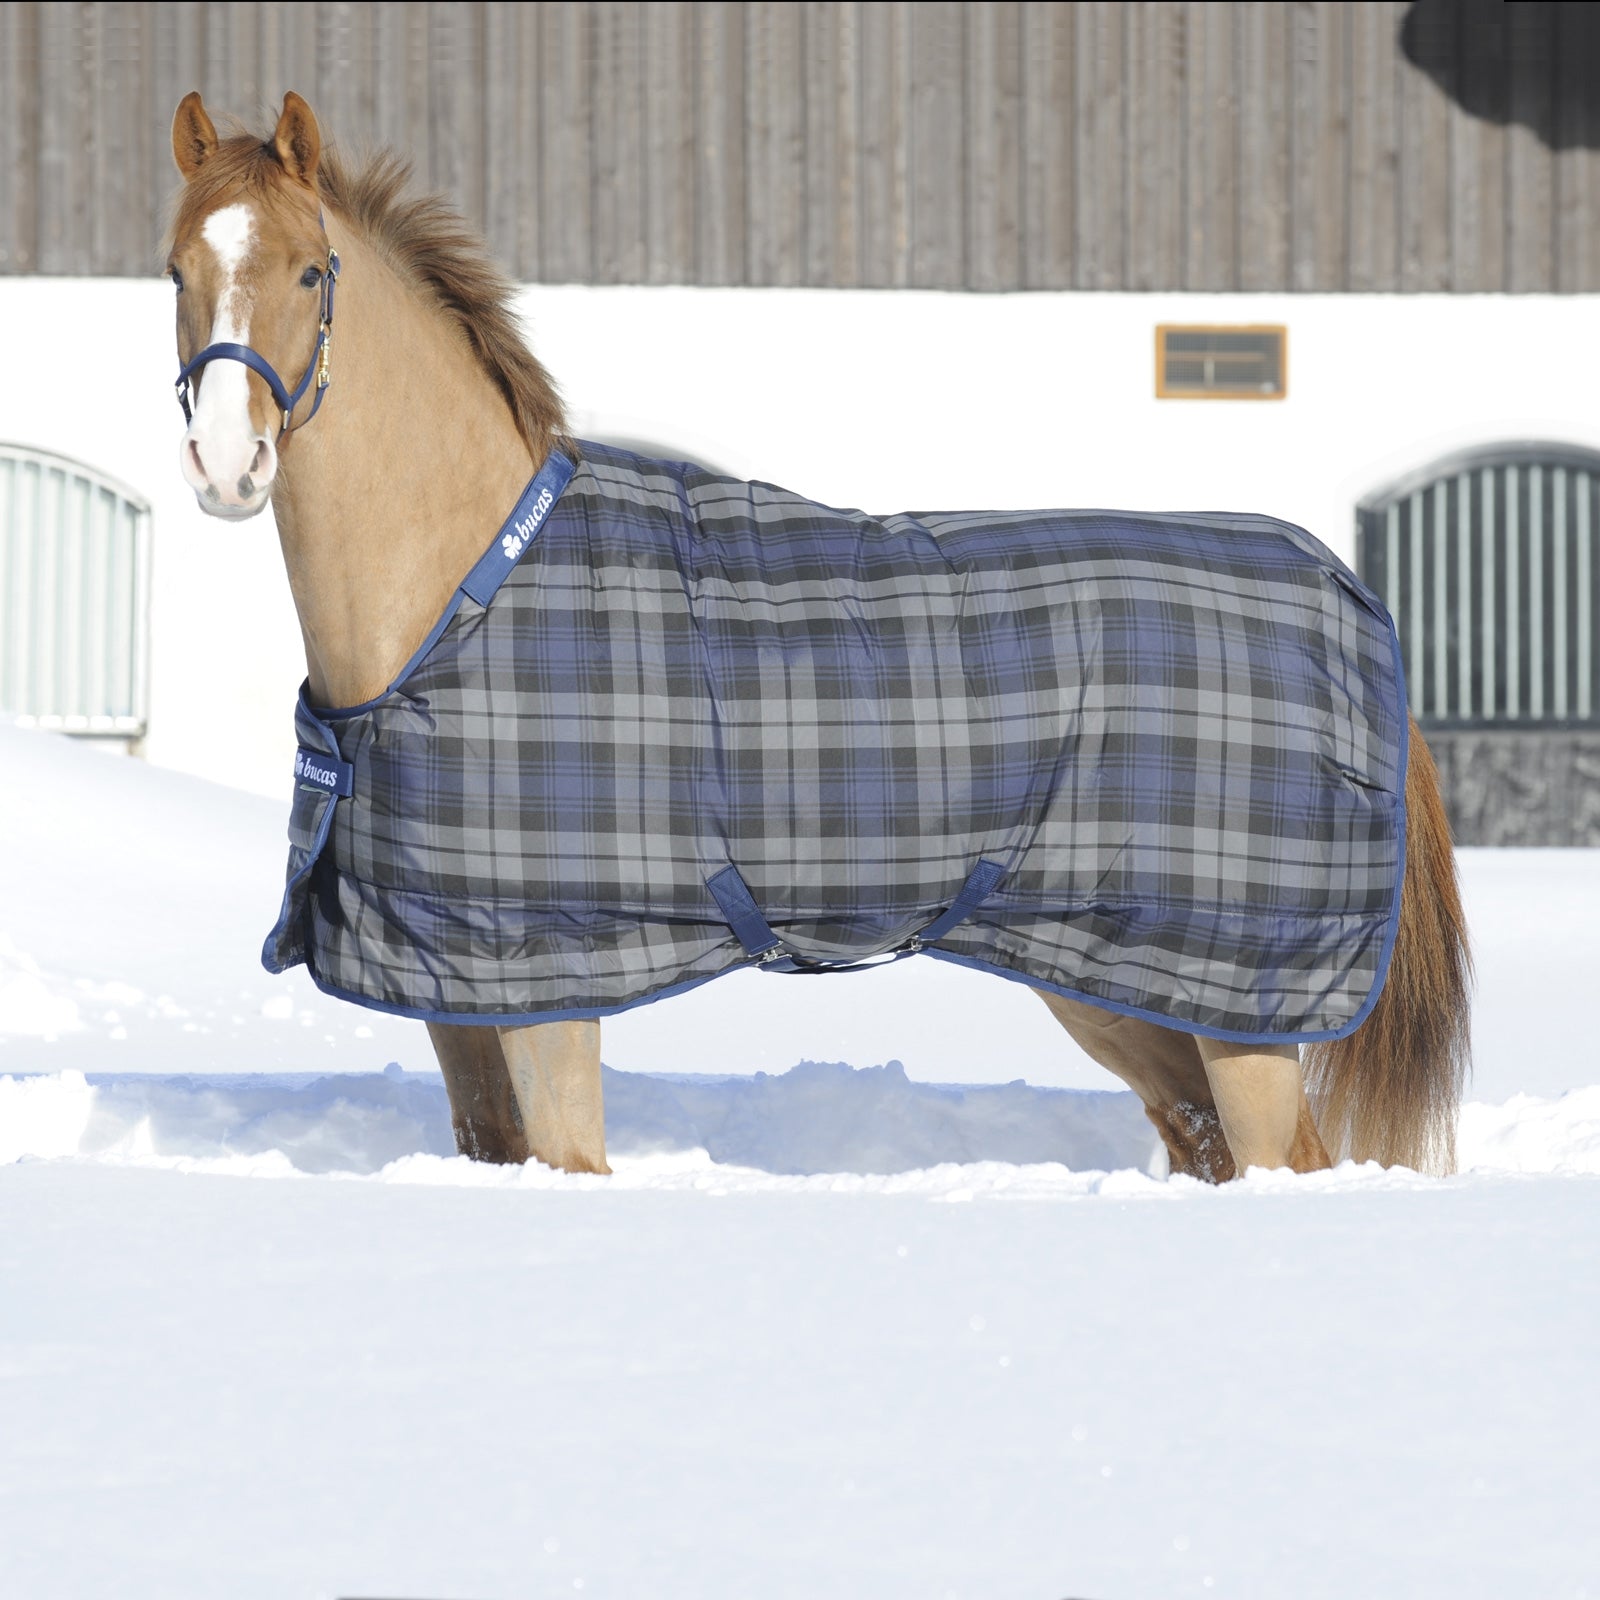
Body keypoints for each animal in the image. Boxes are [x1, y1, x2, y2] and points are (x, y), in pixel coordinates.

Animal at [164, 90, 1470, 1183]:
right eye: (176, 270)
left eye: (311, 270)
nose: (228, 465)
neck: (463, 589)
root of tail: (1347, 594)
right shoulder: (458, 992)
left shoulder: (550, 990)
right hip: (1127, 985)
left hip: (1235, 1004)